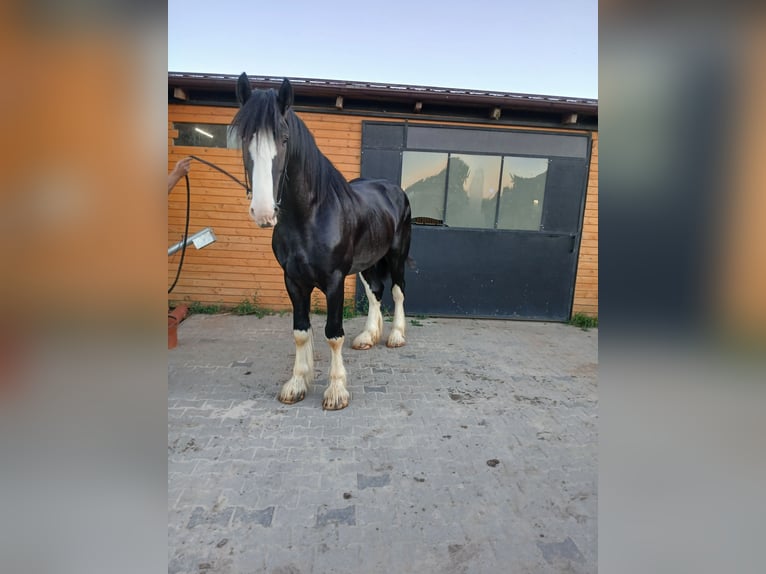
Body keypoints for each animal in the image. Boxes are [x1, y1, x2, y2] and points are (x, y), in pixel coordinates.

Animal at [232, 74, 414, 412]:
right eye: (244, 138)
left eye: (285, 140)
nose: (263, 211)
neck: (311, 216)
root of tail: (393, 189)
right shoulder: (293, 281)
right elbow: (301, 332)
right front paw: (297, 383)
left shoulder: (333, 281)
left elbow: (333, 333)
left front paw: (336, 390)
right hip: (368, 261)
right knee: (375, 291)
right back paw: (368, 336)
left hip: (396, 254)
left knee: (397, 291)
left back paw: (396, 336)